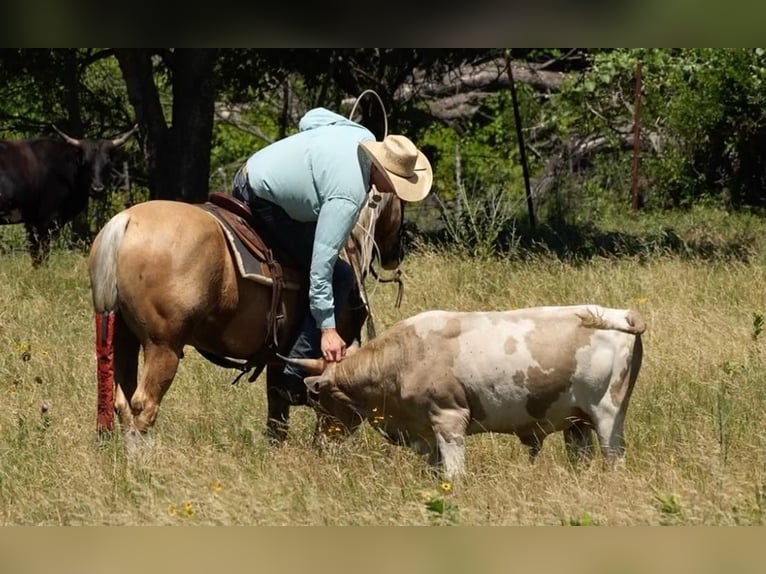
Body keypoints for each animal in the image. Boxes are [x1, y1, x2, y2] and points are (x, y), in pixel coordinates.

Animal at [0, 125, 138, 266]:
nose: (97, 189)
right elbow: (41, 255)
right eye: (85, 162)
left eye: (108, 163)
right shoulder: (45, 220)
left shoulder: (31, 221)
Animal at [87, 190, 404, 450]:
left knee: (123, 402)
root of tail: (125, 221)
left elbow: (277, 416)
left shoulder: (278, 360)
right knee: (144, 405)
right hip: (163, 347)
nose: (395, 254)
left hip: (124, 340)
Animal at [284, 306, 644, 482]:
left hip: (608, 415)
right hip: (577, 423)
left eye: (318, 401)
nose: (319, 445)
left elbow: (454, 473)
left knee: (615, 458)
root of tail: (619, 313)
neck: (402, 356)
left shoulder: (449, 419)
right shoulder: (424, 432)